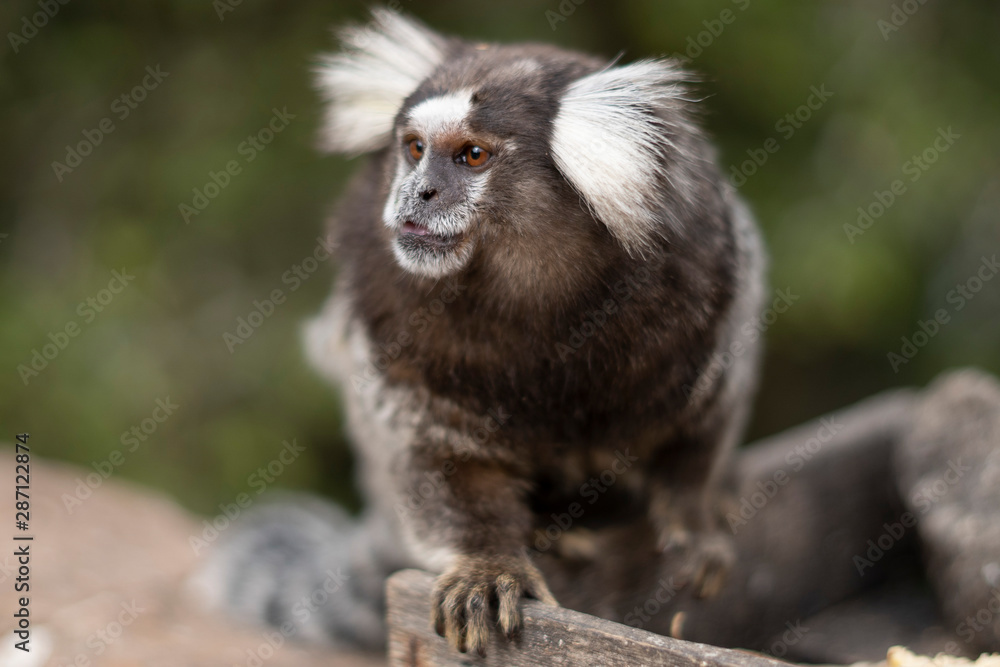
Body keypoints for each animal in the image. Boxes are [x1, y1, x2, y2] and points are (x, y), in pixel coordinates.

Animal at [198, 9, 766, 657]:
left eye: (471, 156)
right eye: (415, 150)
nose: (417, 192)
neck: (533, 299)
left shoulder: (712, 282)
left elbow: (703, 426)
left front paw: (692, 517)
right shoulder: (387, 336)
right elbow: (435, 462)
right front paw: (489, 563)